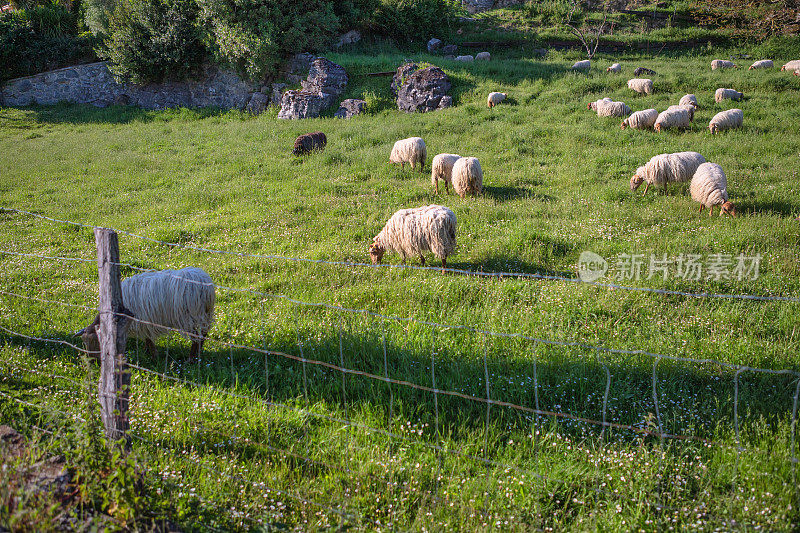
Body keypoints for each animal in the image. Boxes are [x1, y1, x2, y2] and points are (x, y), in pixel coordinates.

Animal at [76, 268, 216, 360]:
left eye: (91, 340)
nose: (91, 360)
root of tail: (205, 285)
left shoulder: (143, 322)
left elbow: (148, 339)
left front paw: (153, 356)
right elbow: (147, 340)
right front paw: (147, 352)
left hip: (190, 316)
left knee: (197, 337)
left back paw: (191, 359)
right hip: (205, 314)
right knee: (203, 334)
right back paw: (198, 355)